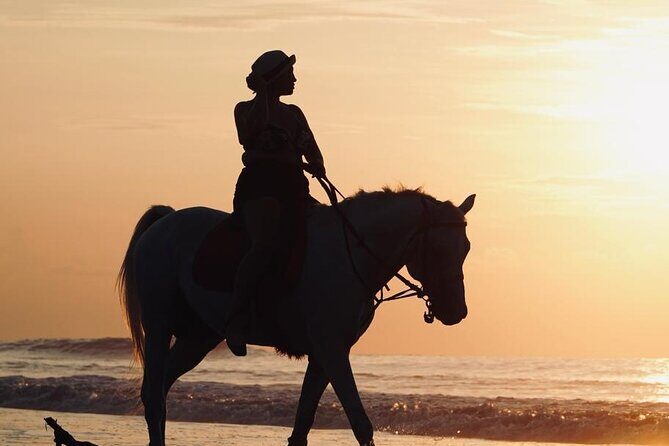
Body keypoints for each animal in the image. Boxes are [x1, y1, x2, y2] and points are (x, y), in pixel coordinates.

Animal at [117, 187, 475, 446]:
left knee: (160, 389)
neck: (348, 255)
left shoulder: (323, 356)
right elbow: (361, 424)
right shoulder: (332, 352)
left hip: (198, 338)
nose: (456, 311)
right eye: (438, 249)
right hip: (160, 327)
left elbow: (302, 426)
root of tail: (165, 221)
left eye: (466, 248)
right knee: (154, 395)